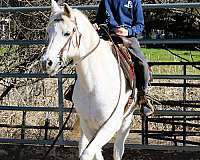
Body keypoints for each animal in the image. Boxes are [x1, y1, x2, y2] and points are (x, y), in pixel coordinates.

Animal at [41, 0, 137, 159]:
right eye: (48, 32)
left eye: (67, 33)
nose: (46, 62)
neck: (93, 85)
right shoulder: (87, 125)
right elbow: (92, 153)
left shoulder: (109, 126)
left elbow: (88, 153)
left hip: (125, 121)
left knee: (118, 150)